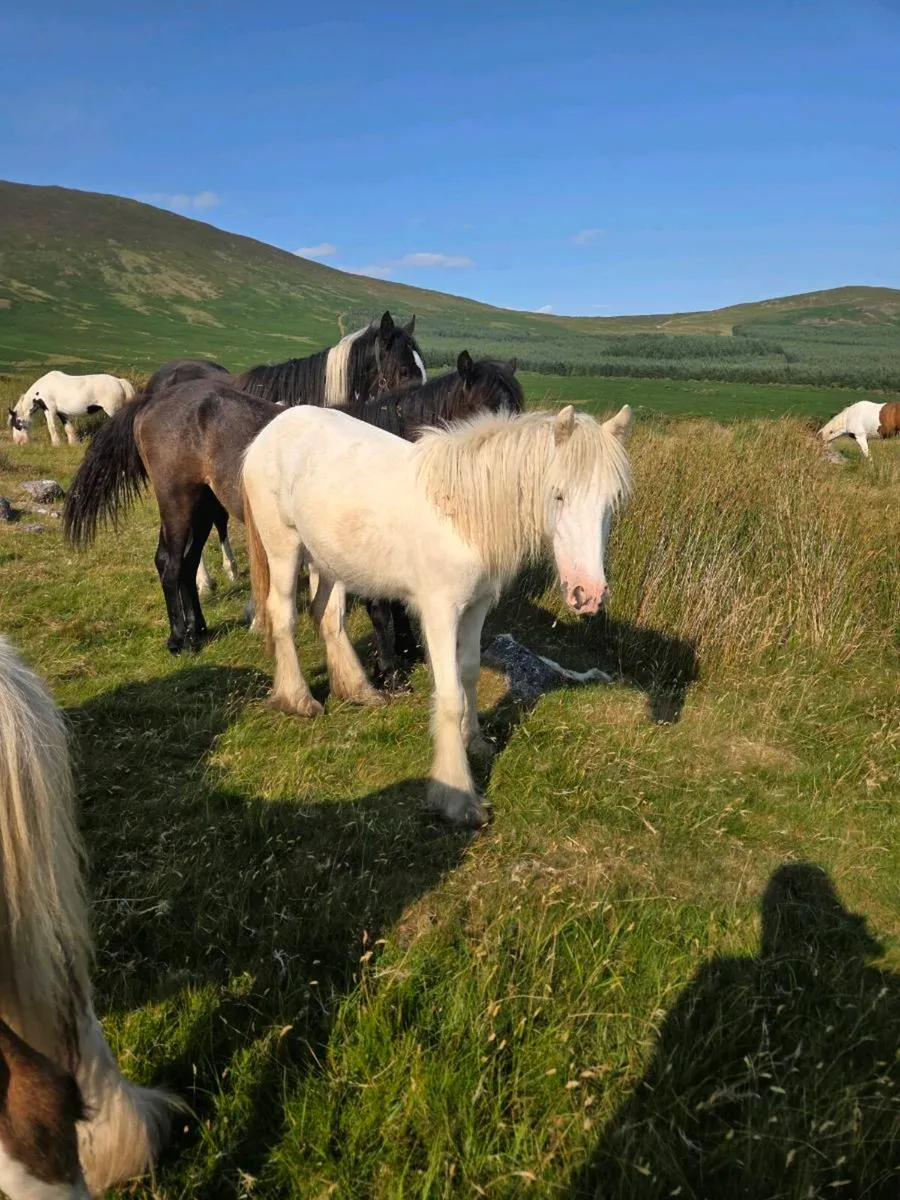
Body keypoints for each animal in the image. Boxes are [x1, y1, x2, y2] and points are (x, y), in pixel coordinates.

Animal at [7, 371, 135, 447]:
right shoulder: (62, 413)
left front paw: (56, 444)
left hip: (112, 410)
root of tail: (120, 382)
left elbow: (52, 427)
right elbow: (68, 428)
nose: (18, 442)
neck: (41, 389)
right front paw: (72, 444)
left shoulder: (49, 409)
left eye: (17, 423)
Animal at [62, 352, 524, 668]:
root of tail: (152, 400)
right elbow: (380, 605)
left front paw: (408, 652)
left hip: (204, 504)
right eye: (486, 414)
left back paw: (199, 628)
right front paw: (390, 668)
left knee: (188, 563)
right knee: (171, 563)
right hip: (177, 500)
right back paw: (181, 639)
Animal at [241, 402, 633, 827]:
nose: (587, 594)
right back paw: (297, 700)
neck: (462, 515)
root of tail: (273, 429)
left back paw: (358, 690)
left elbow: (469, 673)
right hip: (284, 548)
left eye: (611, 501)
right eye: (558, 495)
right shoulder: (440, 612)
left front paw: (474, 741)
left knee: (328, 617)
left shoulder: (477, 607)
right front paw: (457, 796)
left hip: (326, 560)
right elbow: (449, 696)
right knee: (284, 616)